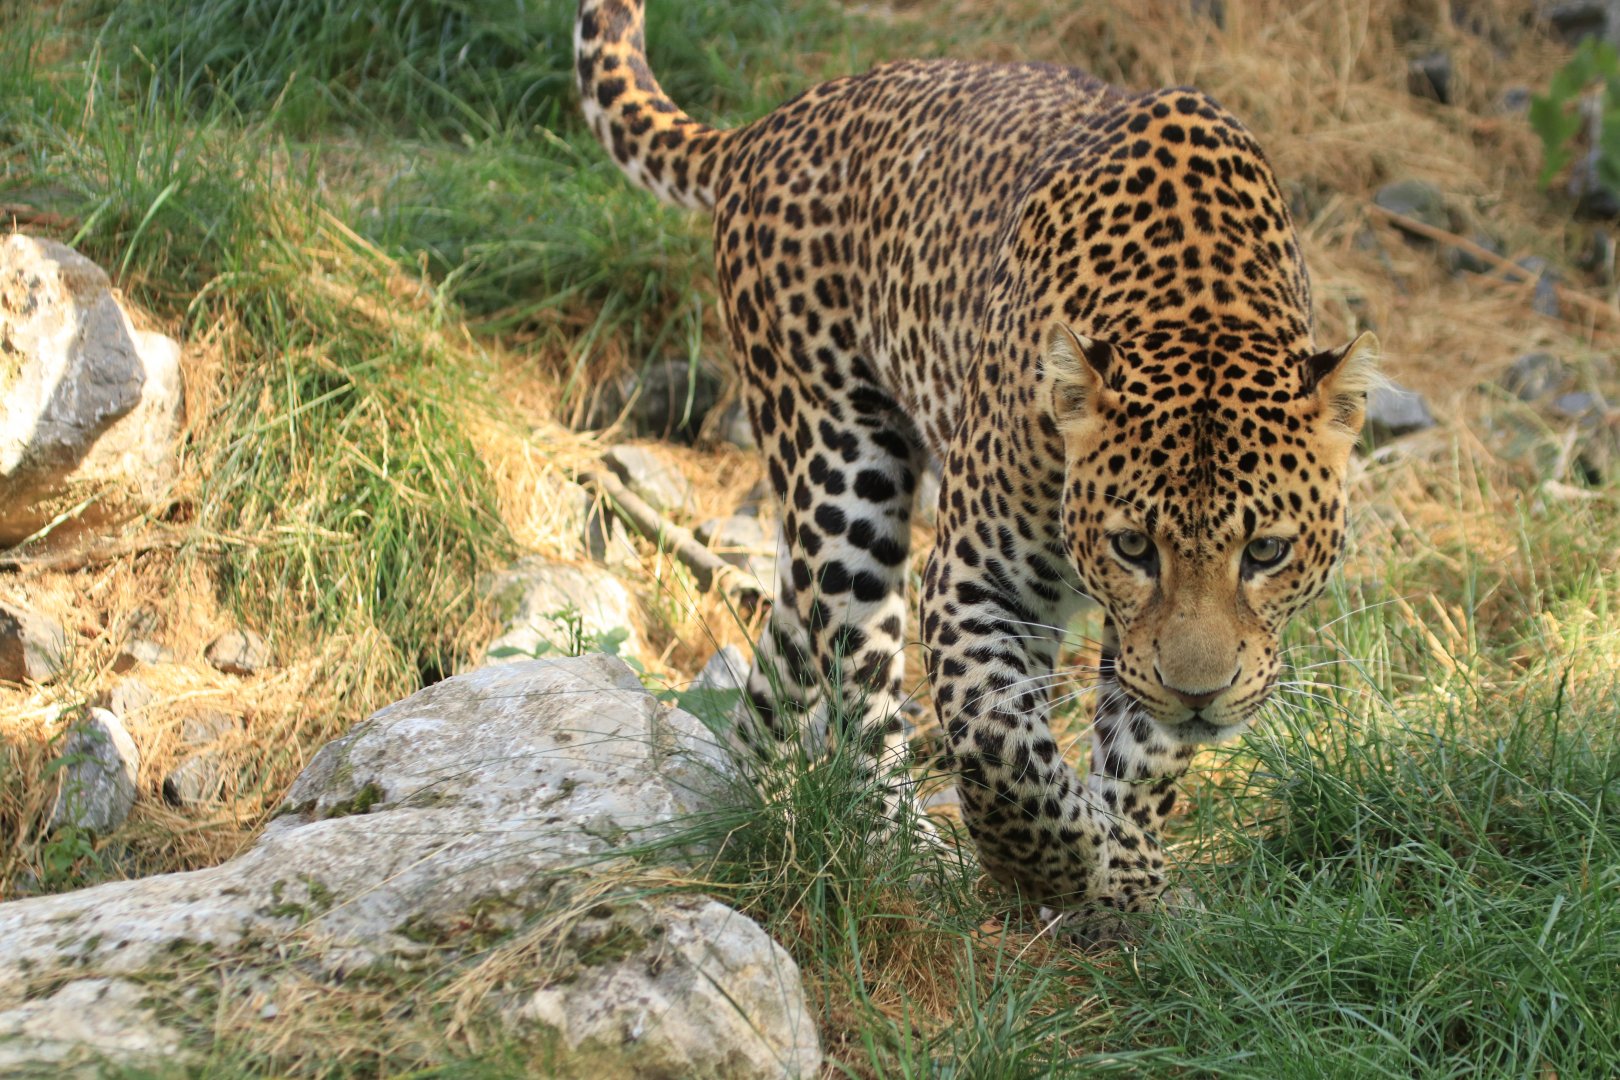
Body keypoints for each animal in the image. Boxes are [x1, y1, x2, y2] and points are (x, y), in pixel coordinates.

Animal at [574, 0, 1378, 911]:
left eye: (1267, 551)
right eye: (1133, 546)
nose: (1200, 696)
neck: (1199, 306)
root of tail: (771, 126)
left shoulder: (1147, 653)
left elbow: (1143, 751)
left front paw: (1127, 870)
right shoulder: (978, 577)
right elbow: (996, 735)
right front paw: (1046, 864)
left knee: (782, 663)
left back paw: (755, 808)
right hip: (842, 471)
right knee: (859, 687)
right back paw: (894, 842)